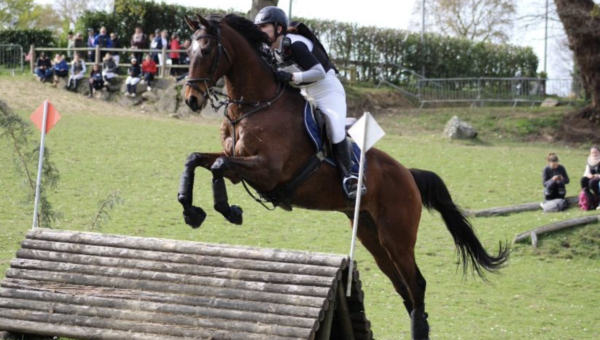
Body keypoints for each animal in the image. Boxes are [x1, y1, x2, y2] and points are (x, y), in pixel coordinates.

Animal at [176, 13, 508, 340]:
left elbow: (218, 166)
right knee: (402, 286)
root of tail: (409, 175)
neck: (256, 105)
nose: (191, 99)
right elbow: (196, 160)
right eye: (188, 52)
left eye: (207, 50)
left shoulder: (268, 171)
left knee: (417, 284)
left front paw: (228, 210)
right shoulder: (238, 166)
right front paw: (192, 211)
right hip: (371, 236)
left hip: (397, 236)